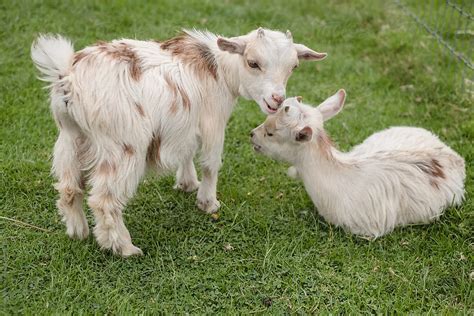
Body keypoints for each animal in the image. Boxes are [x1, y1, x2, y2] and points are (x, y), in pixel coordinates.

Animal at [30, 26, 326, 254]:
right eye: (253, 63)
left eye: (293, 66)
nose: (276, 100)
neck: (218, 69)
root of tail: (69, 81)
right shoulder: (214, 121)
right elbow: (211, 163)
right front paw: (208, 202)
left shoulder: (185, 122)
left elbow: (187, 150)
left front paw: (186, 183)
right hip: (123, 147)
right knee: (104, 200)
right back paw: (124, 248)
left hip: (70, 138)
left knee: (68, 188)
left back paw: (78, 231)